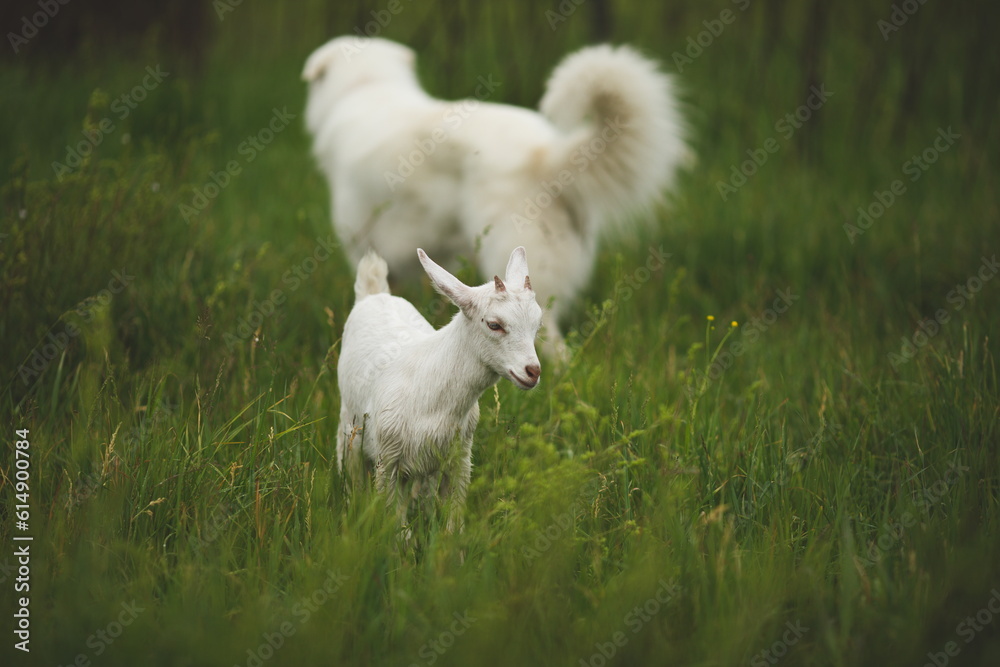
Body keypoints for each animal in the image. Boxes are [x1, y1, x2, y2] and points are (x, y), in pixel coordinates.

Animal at [336, 246, 542, 531]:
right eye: (494, 324)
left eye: (537, 324)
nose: (533, 371)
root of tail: (374, 293)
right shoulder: (387, 461)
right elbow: (395, 522)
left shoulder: (460, 458)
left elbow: (453, 521)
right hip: (350, 424)